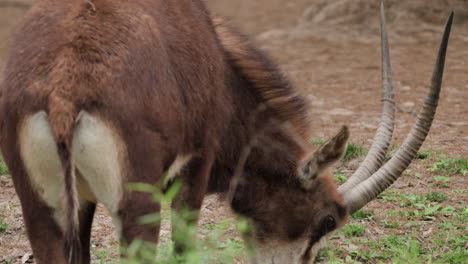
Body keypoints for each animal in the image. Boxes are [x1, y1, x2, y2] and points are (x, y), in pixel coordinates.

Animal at [0, 0, 454, 262]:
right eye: (327, 220)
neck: (220, 62)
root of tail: (65, 92)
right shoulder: (197, 165)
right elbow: (184, 246)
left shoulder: (85, 203)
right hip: (136, 205)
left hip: (43, 206)